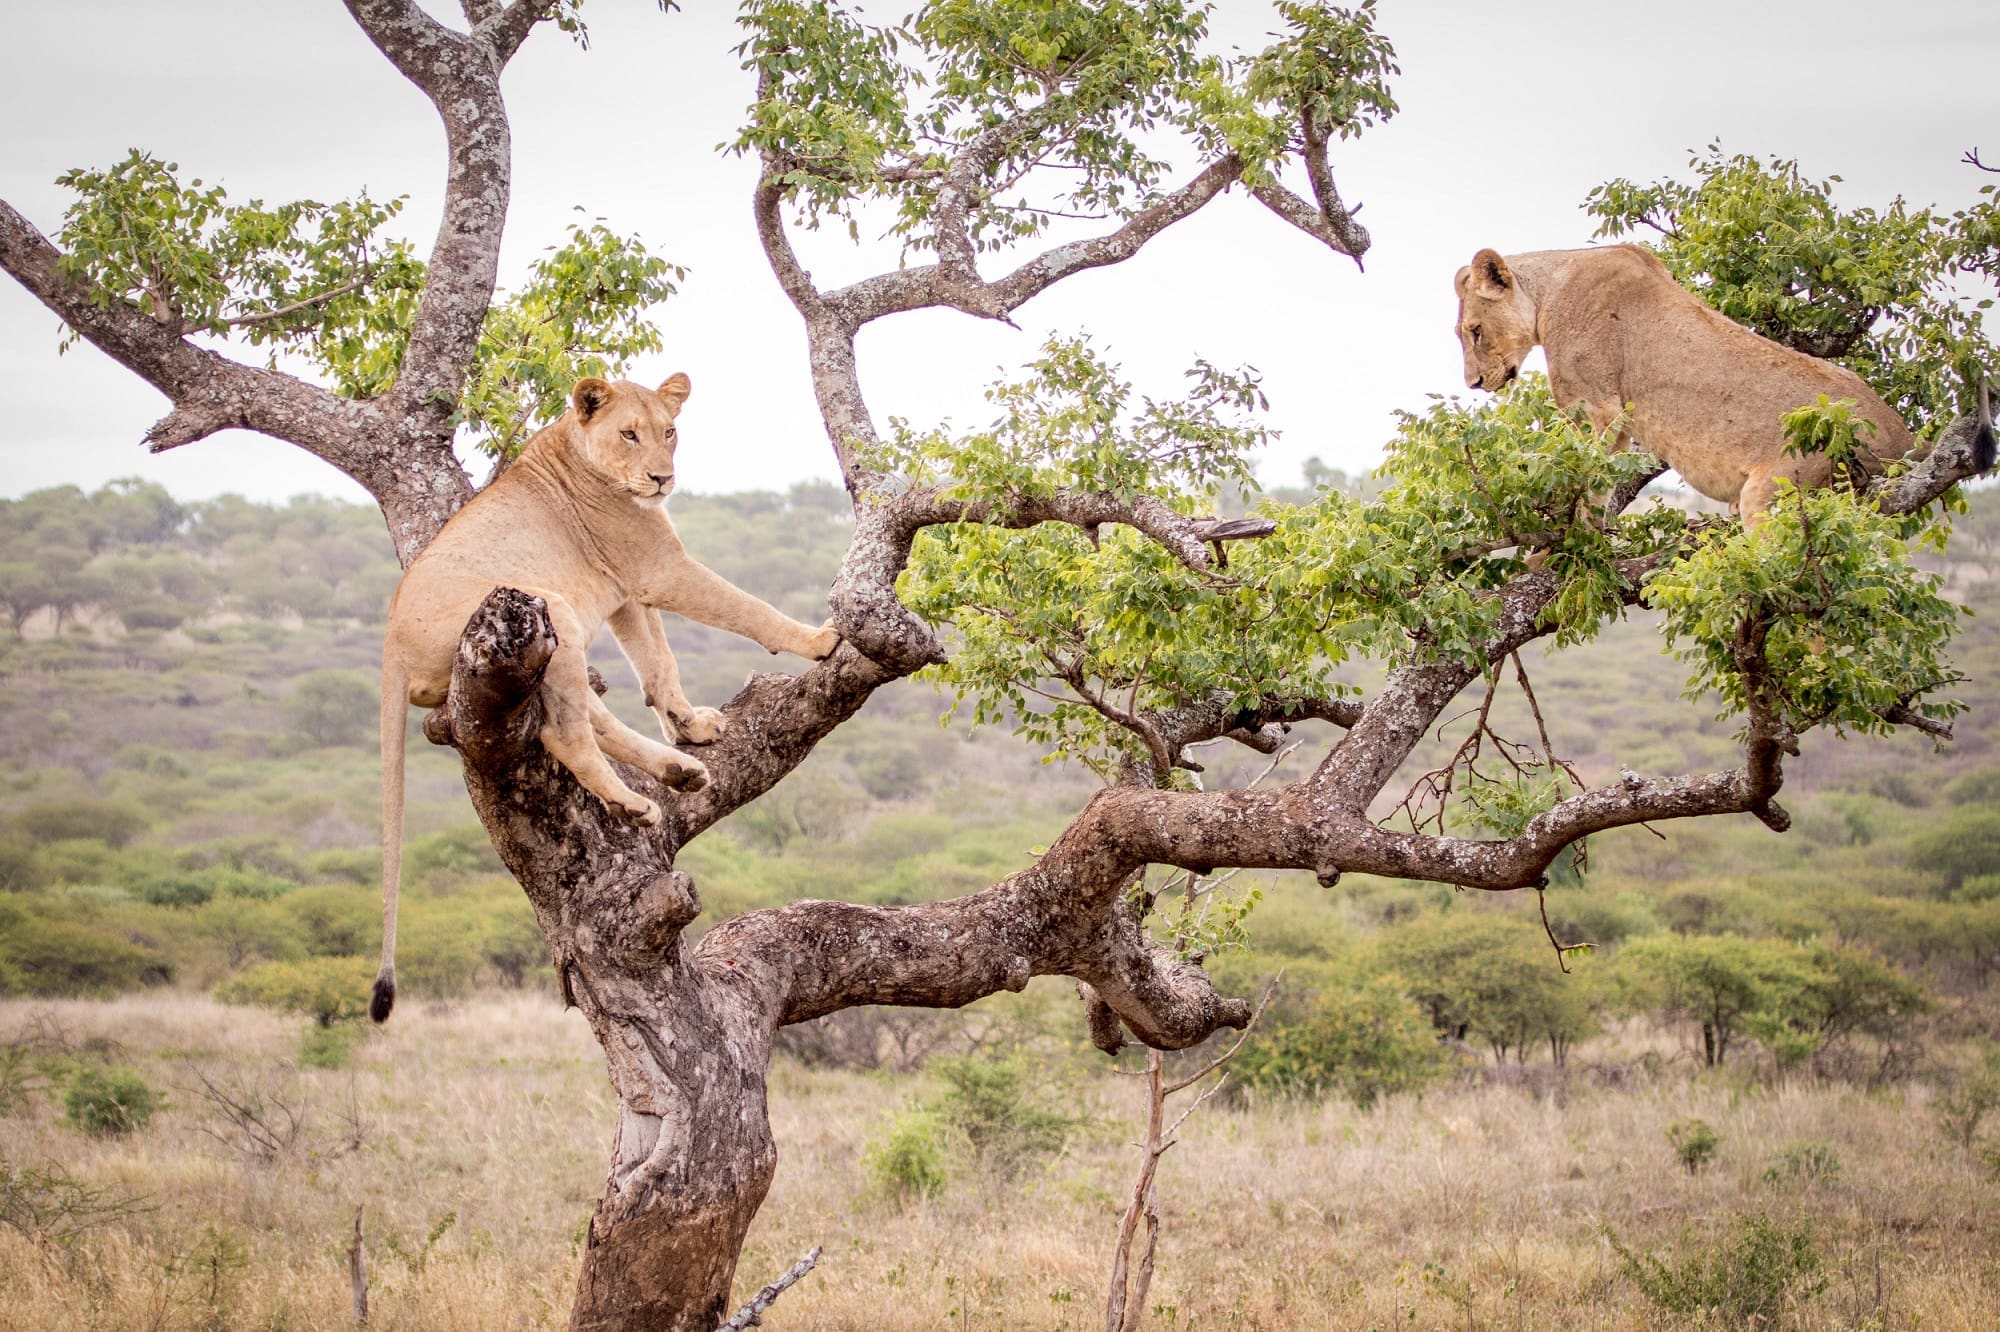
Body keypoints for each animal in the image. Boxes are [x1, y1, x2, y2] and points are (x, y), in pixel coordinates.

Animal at [373, 374, 839, 1021]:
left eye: (669, 431)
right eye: (629, 434)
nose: (662, 478)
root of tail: (390, 642)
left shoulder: (627, 594)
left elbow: (659, 663)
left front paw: (689, 724)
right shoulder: (658, 570)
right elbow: (748, 608)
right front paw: (819, 640)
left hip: (555, 637)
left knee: (584, 720)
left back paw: (678, 771)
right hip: (549, 608)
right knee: (563, 732)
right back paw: (634, 804)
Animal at [1452, 244, 1993, 520]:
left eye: (1474, 331)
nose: (1475, 383)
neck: (1549, 291)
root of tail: (1903, 438)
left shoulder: (1596, 407)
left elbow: (1586, 484)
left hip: (1779, 489)